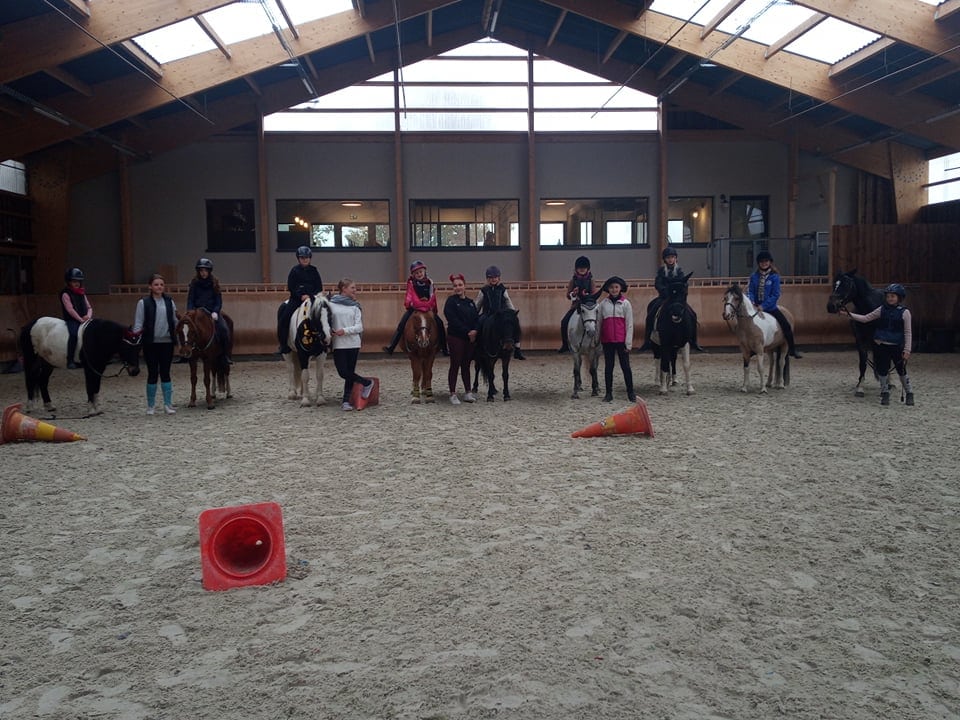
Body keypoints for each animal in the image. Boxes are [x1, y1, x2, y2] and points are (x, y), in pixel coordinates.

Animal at [824, 268, 884, 396]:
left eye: (846, 284)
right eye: (834, 284)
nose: (831, 306)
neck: (868, 312)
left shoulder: (878, 341)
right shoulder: (860, 339)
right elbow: (863, 361)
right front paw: (860, 386)